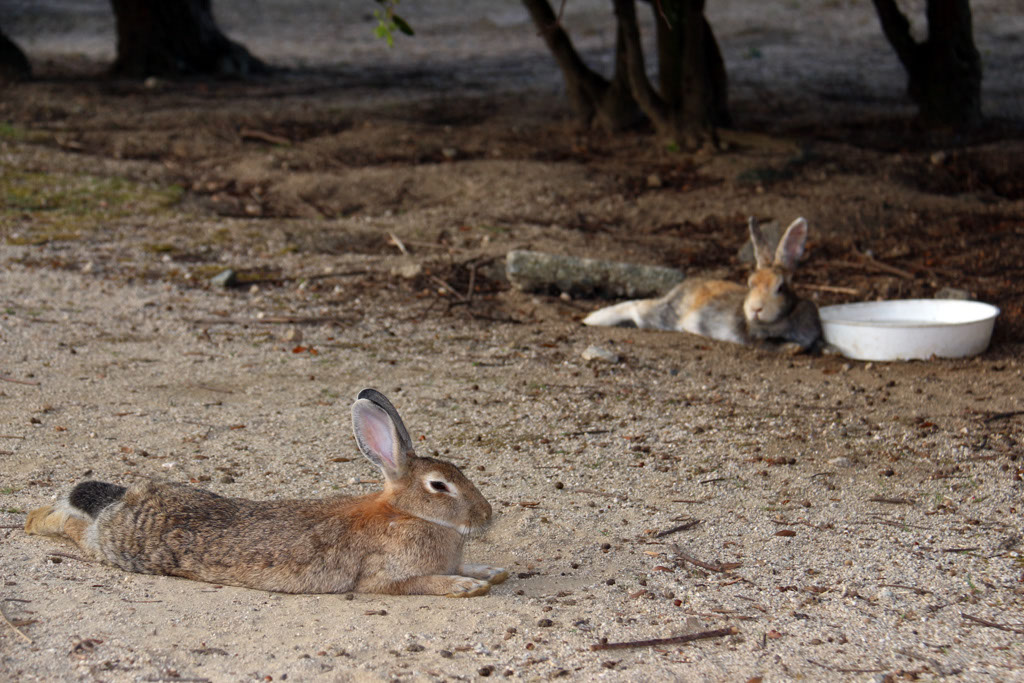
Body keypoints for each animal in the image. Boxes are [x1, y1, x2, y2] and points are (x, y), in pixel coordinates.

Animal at [25, 389, 508, 597]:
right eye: (439, 486)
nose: (487, 517)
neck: (407, 513)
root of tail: (133, 498)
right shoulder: (384, 576)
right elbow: (421, 582)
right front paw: (465, 586)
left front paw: (491, 573)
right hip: (115, 547)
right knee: (71, 526)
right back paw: (36, 520)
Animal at [582, 217, 822, 352]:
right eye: (750, 283)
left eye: (780, 288)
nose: (756, 309)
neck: (783, 319)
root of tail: (678, 291)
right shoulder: (753, 338)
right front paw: (792, 348)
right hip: (663, 317)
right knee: (637, 307)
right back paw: (594, 319)